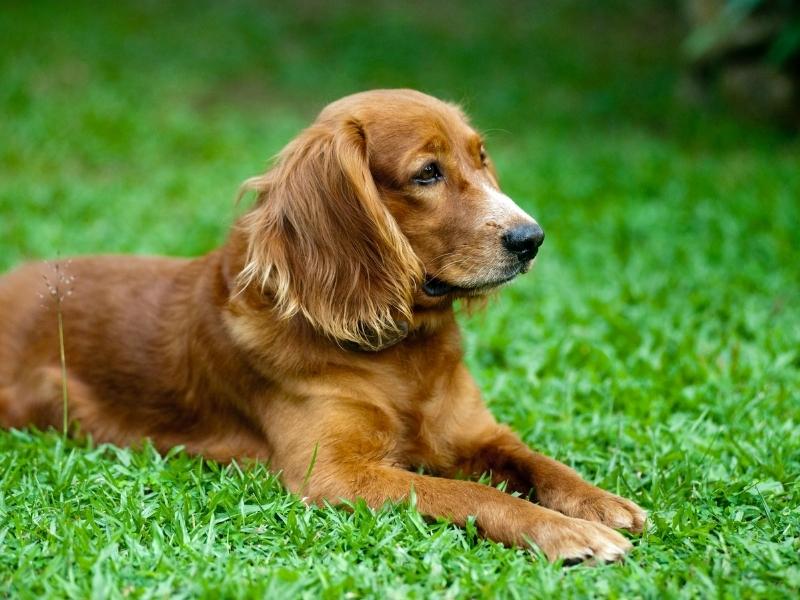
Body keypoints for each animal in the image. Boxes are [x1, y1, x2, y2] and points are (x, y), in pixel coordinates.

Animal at [0, 89, 644, 564]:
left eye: (480, 158)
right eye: (427, 174)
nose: (530, 238)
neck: (400, 351)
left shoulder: (476, 433)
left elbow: (537, 461)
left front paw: (599, 503)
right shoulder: (337, 476)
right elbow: (472, 492)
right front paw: (567, 534)